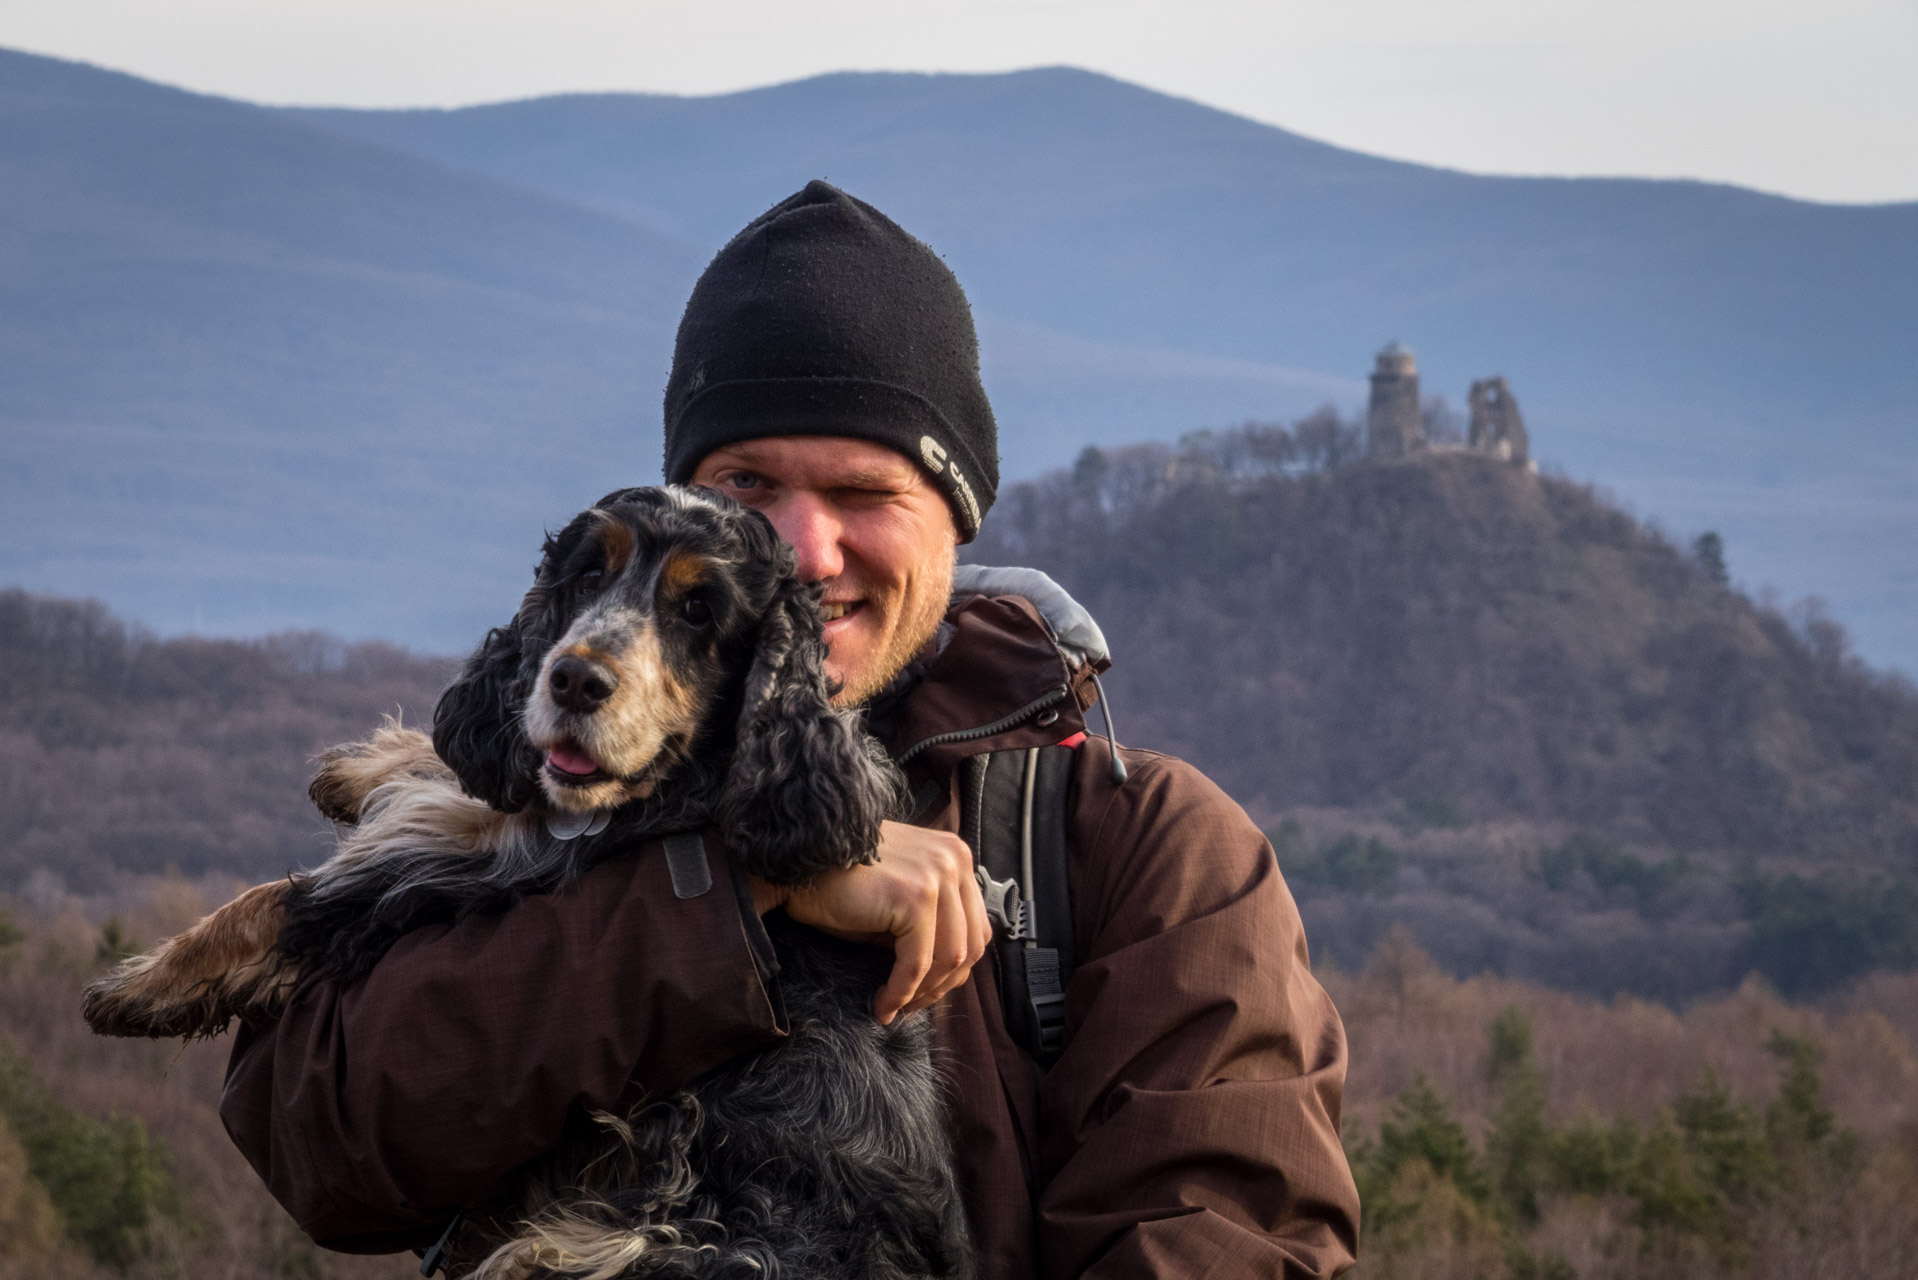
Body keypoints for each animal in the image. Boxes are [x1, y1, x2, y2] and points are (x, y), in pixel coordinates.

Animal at [80, 485, 974, 1280]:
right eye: (586, 574)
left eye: (698, 610)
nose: (574, 680)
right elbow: (456, 772)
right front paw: (360, 767)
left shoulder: (478, 876)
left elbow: (290, 900)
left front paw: (140, 986)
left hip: (625, 1241)